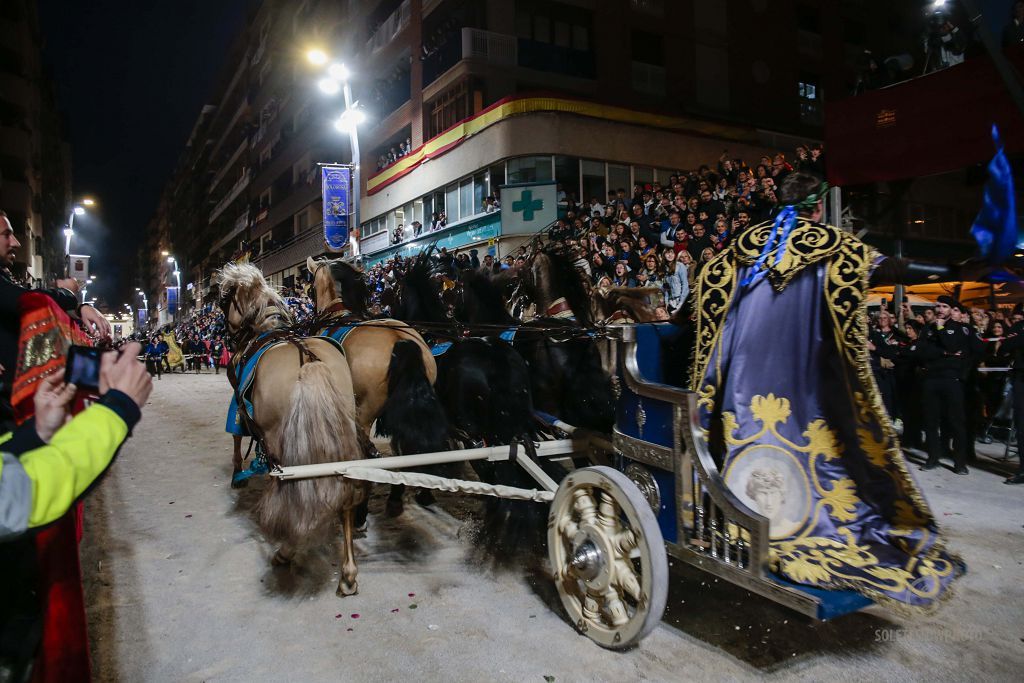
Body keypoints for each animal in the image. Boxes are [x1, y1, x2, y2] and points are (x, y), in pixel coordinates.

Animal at [214, 264, 366, 593]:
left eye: (223, 301)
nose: (226, 335)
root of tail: (308, 359)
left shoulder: (238, 406)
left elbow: (236, 438)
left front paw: (237, 474)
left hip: (280, 445)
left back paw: (286, 551)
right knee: (345, 495)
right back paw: (348, 573)